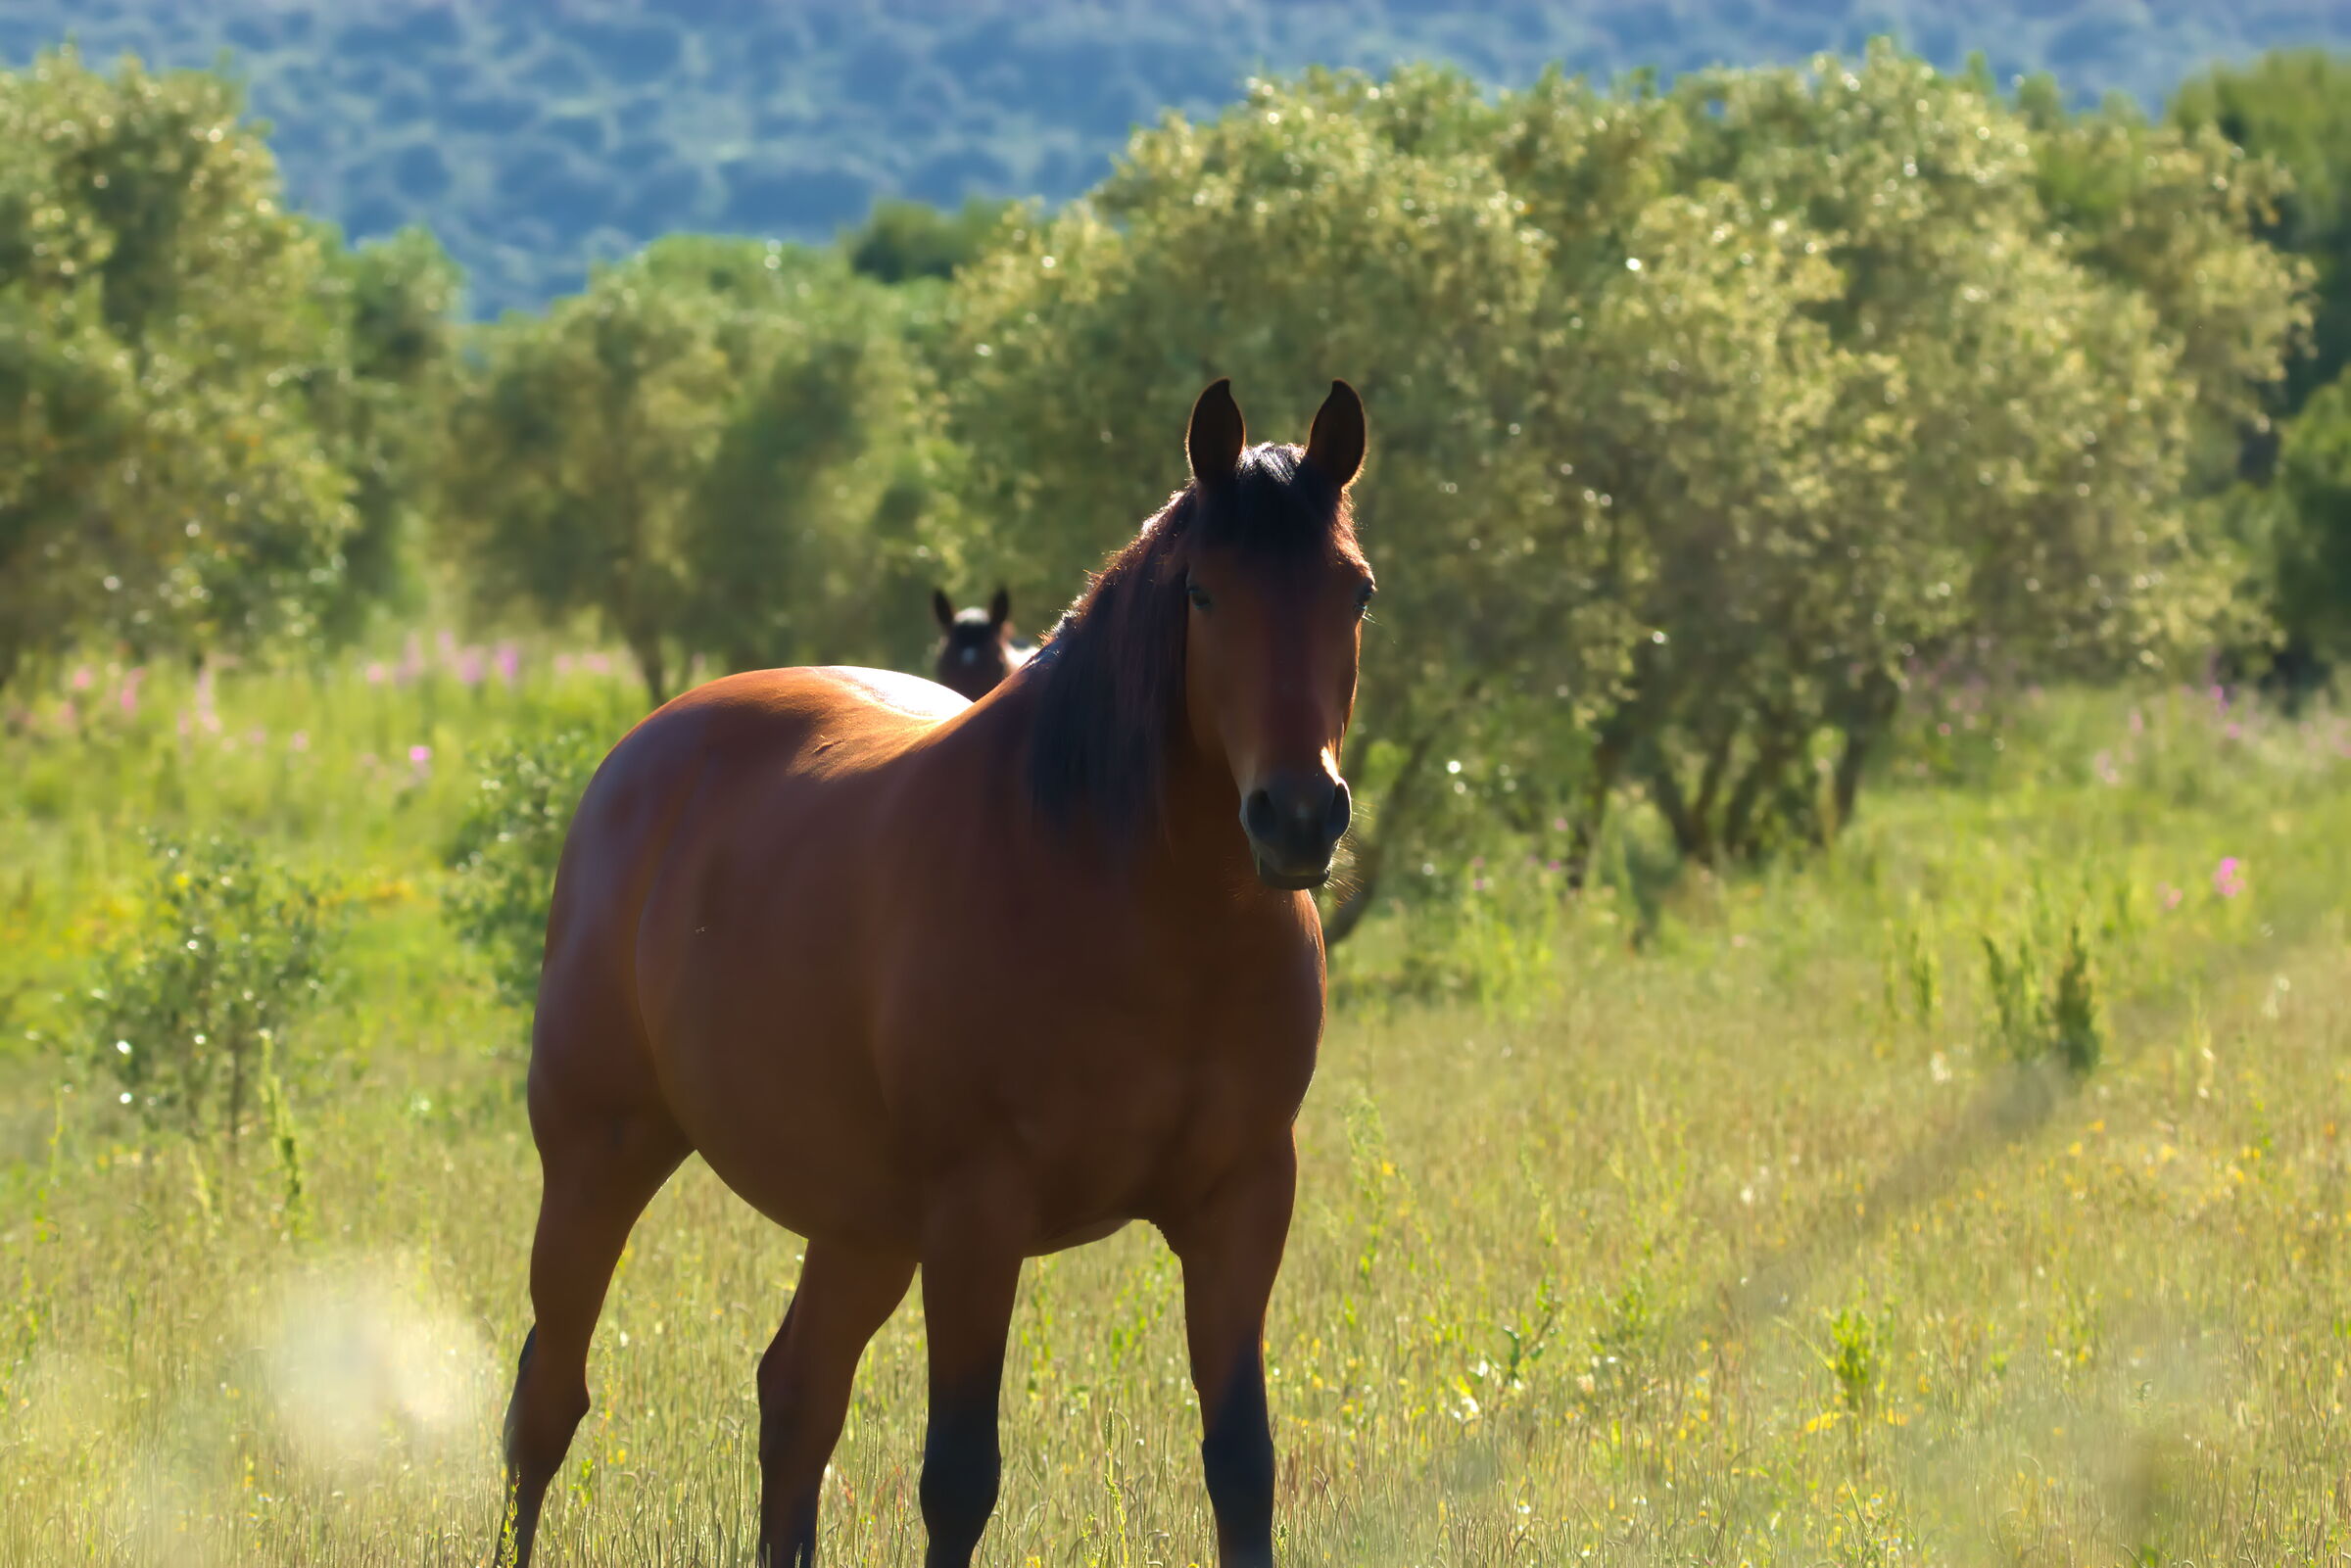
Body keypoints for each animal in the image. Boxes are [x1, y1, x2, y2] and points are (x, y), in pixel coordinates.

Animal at [496, 378, 1373, 1568]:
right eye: (1204, 591)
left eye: (1356, 593)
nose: (1297, 816)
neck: (1131, 901)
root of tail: (641, 757)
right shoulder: (976, 1214)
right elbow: (960, 1476)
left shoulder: (1242, 1200)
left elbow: (1242, 1462)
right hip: (601, 1153)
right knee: (548, 1398)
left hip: (860, 1221)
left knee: (796, 1395)